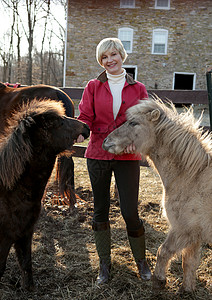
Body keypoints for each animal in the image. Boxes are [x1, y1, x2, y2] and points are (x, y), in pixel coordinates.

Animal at [0, 99, 89, 290]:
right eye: (57, 123)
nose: (86, 127)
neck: (10, 192)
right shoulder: (4, 239)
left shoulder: (25, 234)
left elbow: (26, 265)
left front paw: (28, 290)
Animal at [102, 99, 210, 292]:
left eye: (133, 123)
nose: (106, 141)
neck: (193, 175)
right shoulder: (194, 235)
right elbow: (189, 261)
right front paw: (187, 289)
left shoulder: (182, 230)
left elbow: (163, 251)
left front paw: (158, 281)